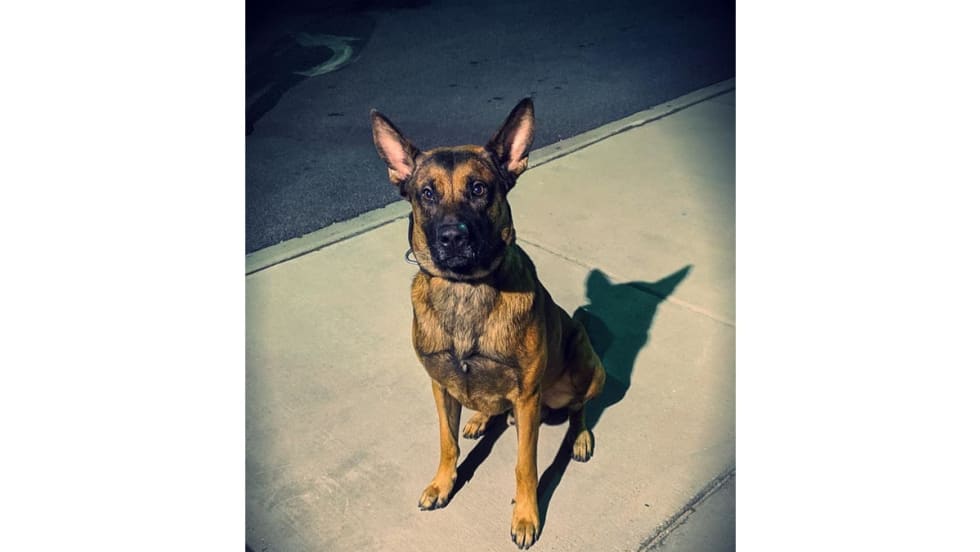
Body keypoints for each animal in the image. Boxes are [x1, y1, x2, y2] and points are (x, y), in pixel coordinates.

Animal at [370, 99, 606, 549]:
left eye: (478, 188)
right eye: (426, 193)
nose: (452, 238)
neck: (465, 289)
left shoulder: (528, 397)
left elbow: (525, 465)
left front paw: (526, 515)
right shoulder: (440, 384)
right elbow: (446, 443)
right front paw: (443, 483)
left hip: (587, 364)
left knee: (579, 408)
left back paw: (580, 436)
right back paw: (481, 417)